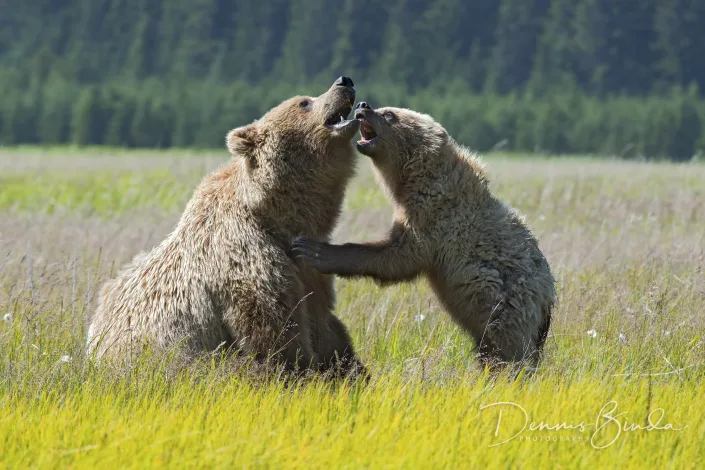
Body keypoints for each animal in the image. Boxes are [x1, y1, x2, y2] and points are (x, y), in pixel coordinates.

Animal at [86, 77, 366, 378]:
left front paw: (350, 368)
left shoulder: (309, 266)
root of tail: (92, 337)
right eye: (303, 102)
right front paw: (303, 370)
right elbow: (277, 333)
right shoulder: (247, 258)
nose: (344, 82)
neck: (276, 217)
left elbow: (323, 323)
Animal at [292, 102, 555, 370]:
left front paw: (313, 250)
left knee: (509, 350)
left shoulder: (434, 216)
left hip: (508, 305)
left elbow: (398, 256)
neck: (414, 179)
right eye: (384, 108)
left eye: (390, 114)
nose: (364, 106)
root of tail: (548, 298)